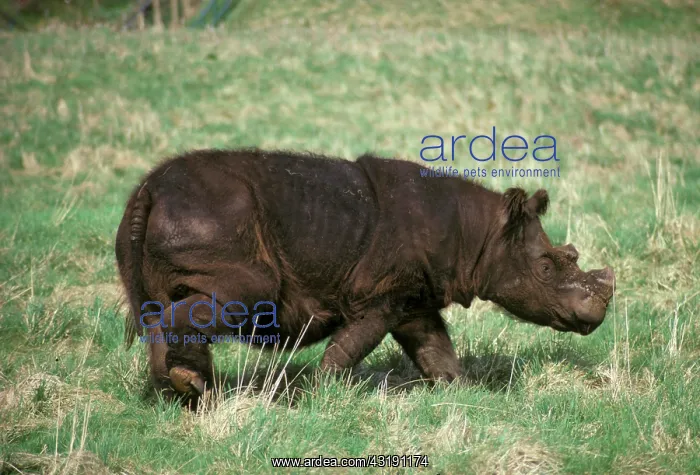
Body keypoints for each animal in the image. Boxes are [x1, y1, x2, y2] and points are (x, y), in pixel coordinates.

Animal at [115, 149, 615, 401]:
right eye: (546, 267)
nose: (596, 316)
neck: (482, 235)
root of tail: (148, 190)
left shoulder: (413, 299)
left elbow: (436, 350)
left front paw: (462, 395)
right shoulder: (381, 296)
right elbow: (349, 348)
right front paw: (320, 396)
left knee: (158, 310)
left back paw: (184, 391)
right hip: (214, 217)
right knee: (243, 293)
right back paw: (194, 387)